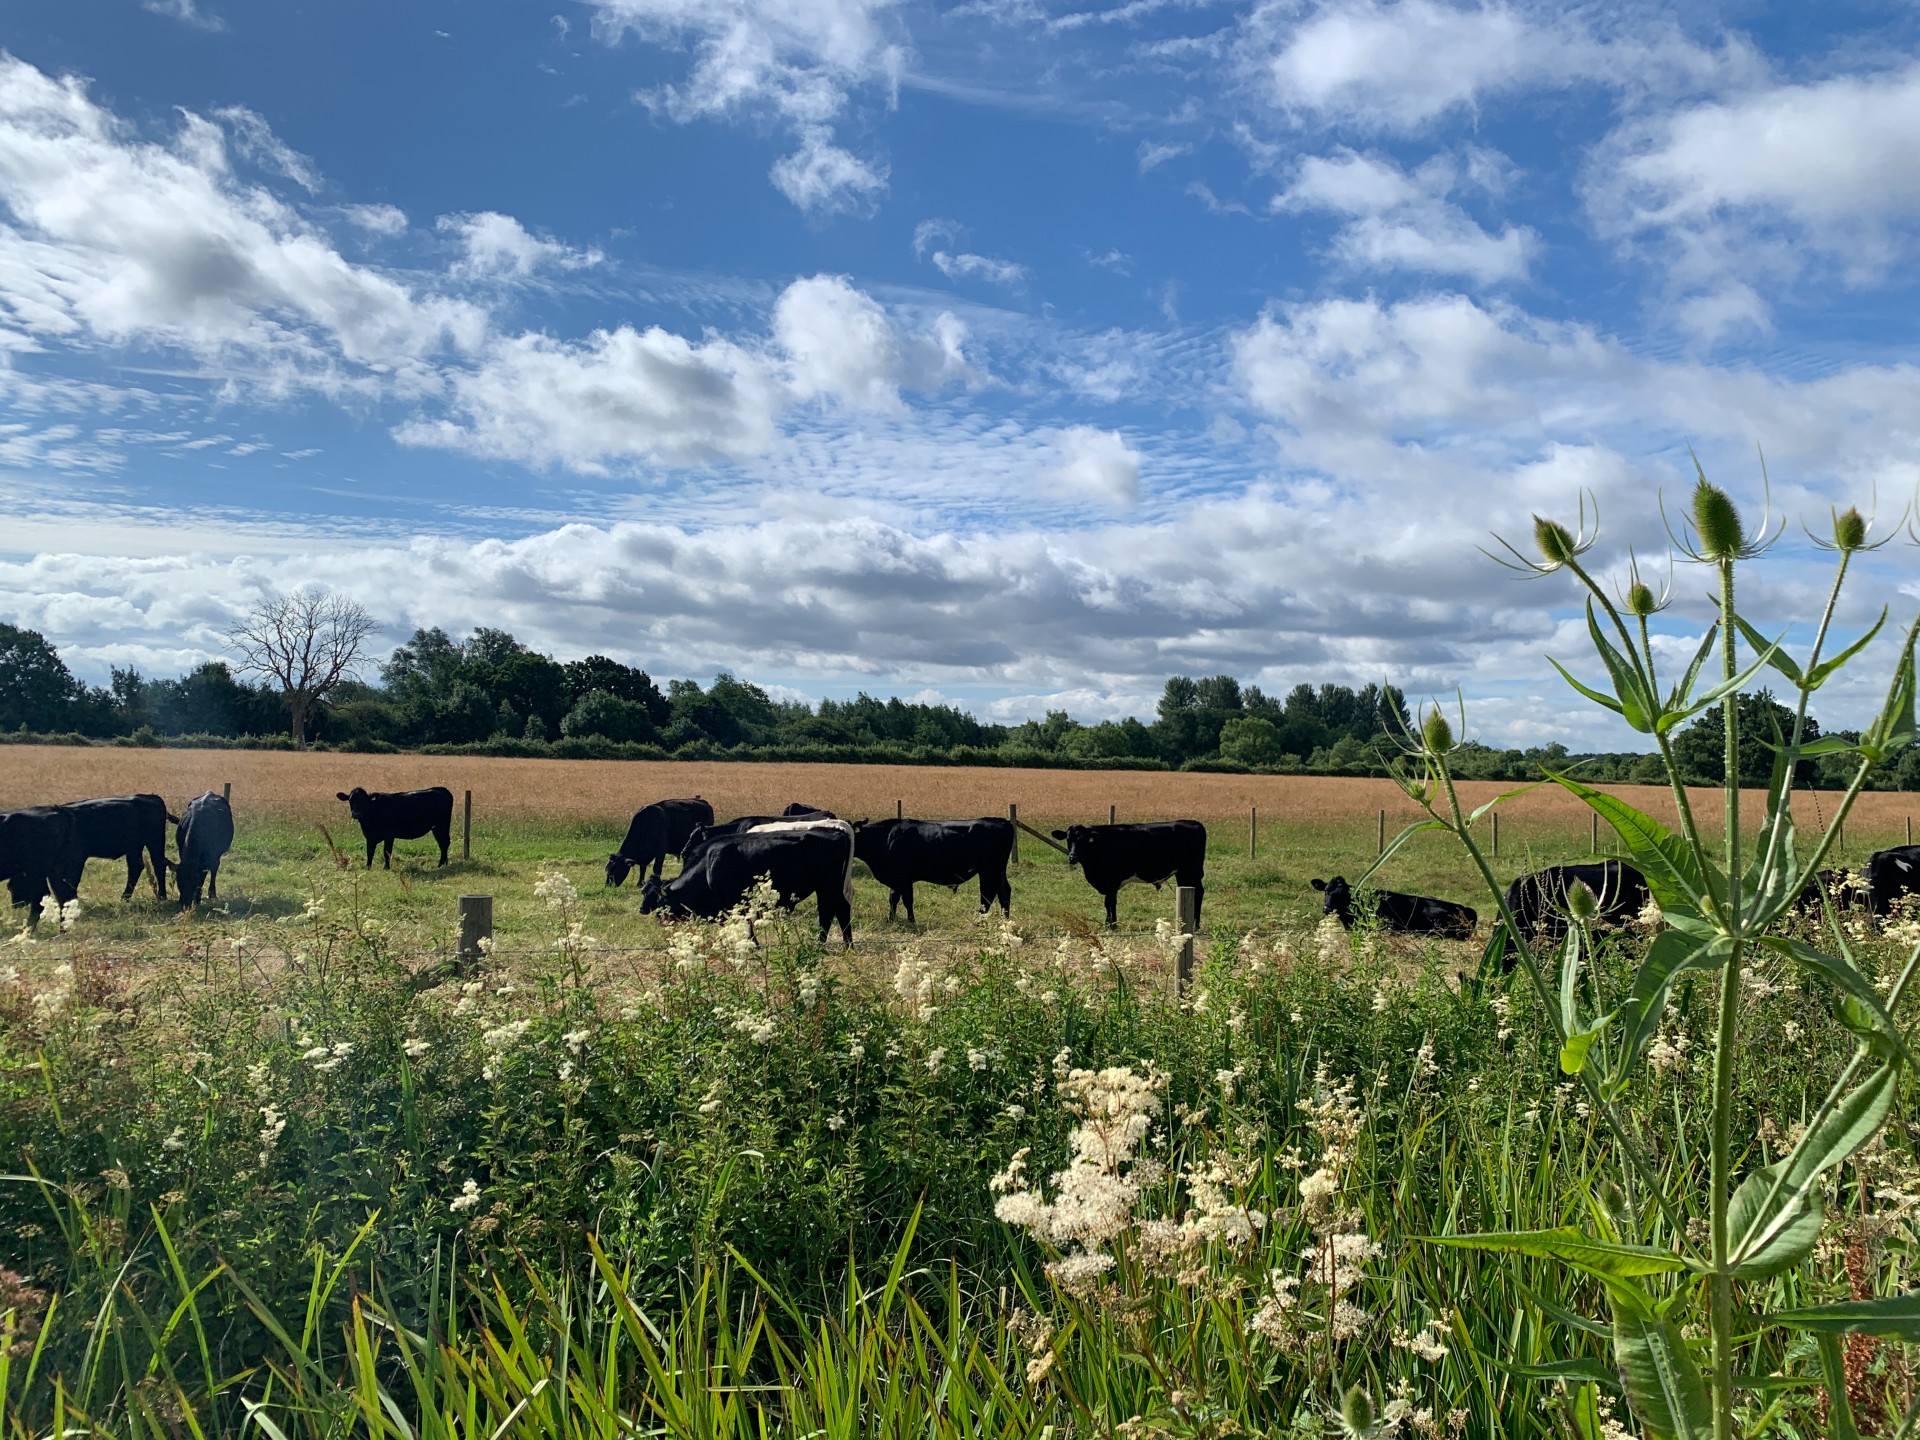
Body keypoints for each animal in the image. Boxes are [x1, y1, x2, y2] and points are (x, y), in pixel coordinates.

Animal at [641, 820, 855, 944]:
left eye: (659, 899)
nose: (643, 910)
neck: (709, 865)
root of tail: (839, 831)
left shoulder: (734, 901)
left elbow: (745, 924)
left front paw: (752, 944)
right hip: (831, 887)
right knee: (838, 910)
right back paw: (844, 944)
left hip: (827, 886)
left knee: (830, 911)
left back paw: (824, 944)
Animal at [853, 817, 1014, 925]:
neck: (886, 838)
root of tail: (1002, 821)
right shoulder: (896, 879)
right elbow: (893, 899)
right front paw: (890, 919)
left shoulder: (904, 878)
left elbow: (906, 900)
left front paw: (911, 921)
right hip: (997, 870)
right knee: (1004, 891)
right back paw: (1004, 920)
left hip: (989, 869)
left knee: (988, 894)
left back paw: (980, 919)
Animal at [1050, 820, 1207, 928]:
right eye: (1068, 839)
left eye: (1083, 840)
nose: (1072, 857)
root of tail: (1195, 822)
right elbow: (1108, 904)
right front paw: (1109, 923)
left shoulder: (1112, 881)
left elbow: (1110, 902)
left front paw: (1112, 925)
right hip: (1183, 874)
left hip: (1192, 871)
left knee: (1199, 892)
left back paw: (1195, 924)